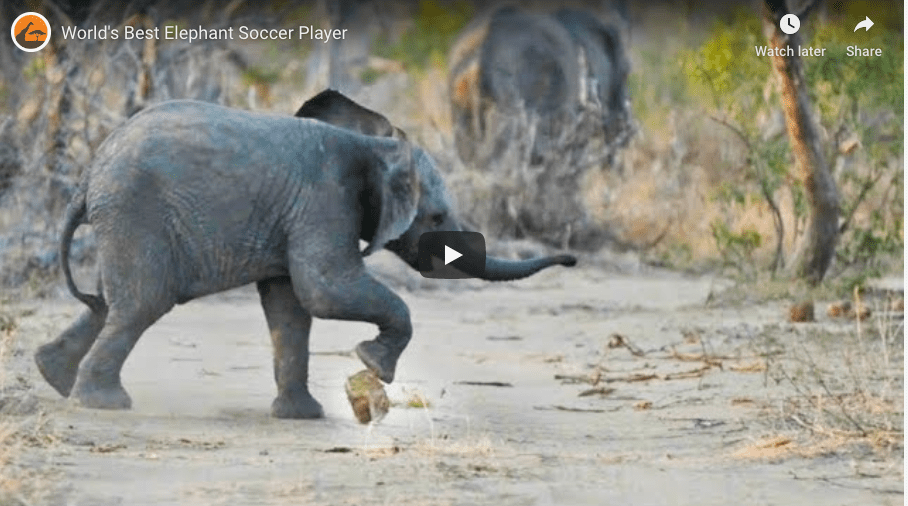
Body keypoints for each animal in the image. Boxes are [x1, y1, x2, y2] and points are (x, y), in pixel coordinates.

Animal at [34, 97, 576, 419]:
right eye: (437, 216)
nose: (571, 260)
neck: (375, 145)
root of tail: (89, 175)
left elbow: (291, 308)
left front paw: (301, 416)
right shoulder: (324, 201)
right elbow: (324, 289)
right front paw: (373, 365)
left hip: (128, 217)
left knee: (111, 302)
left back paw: (55, 378)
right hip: (137, 210)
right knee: (142, 302)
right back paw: (103, 405)